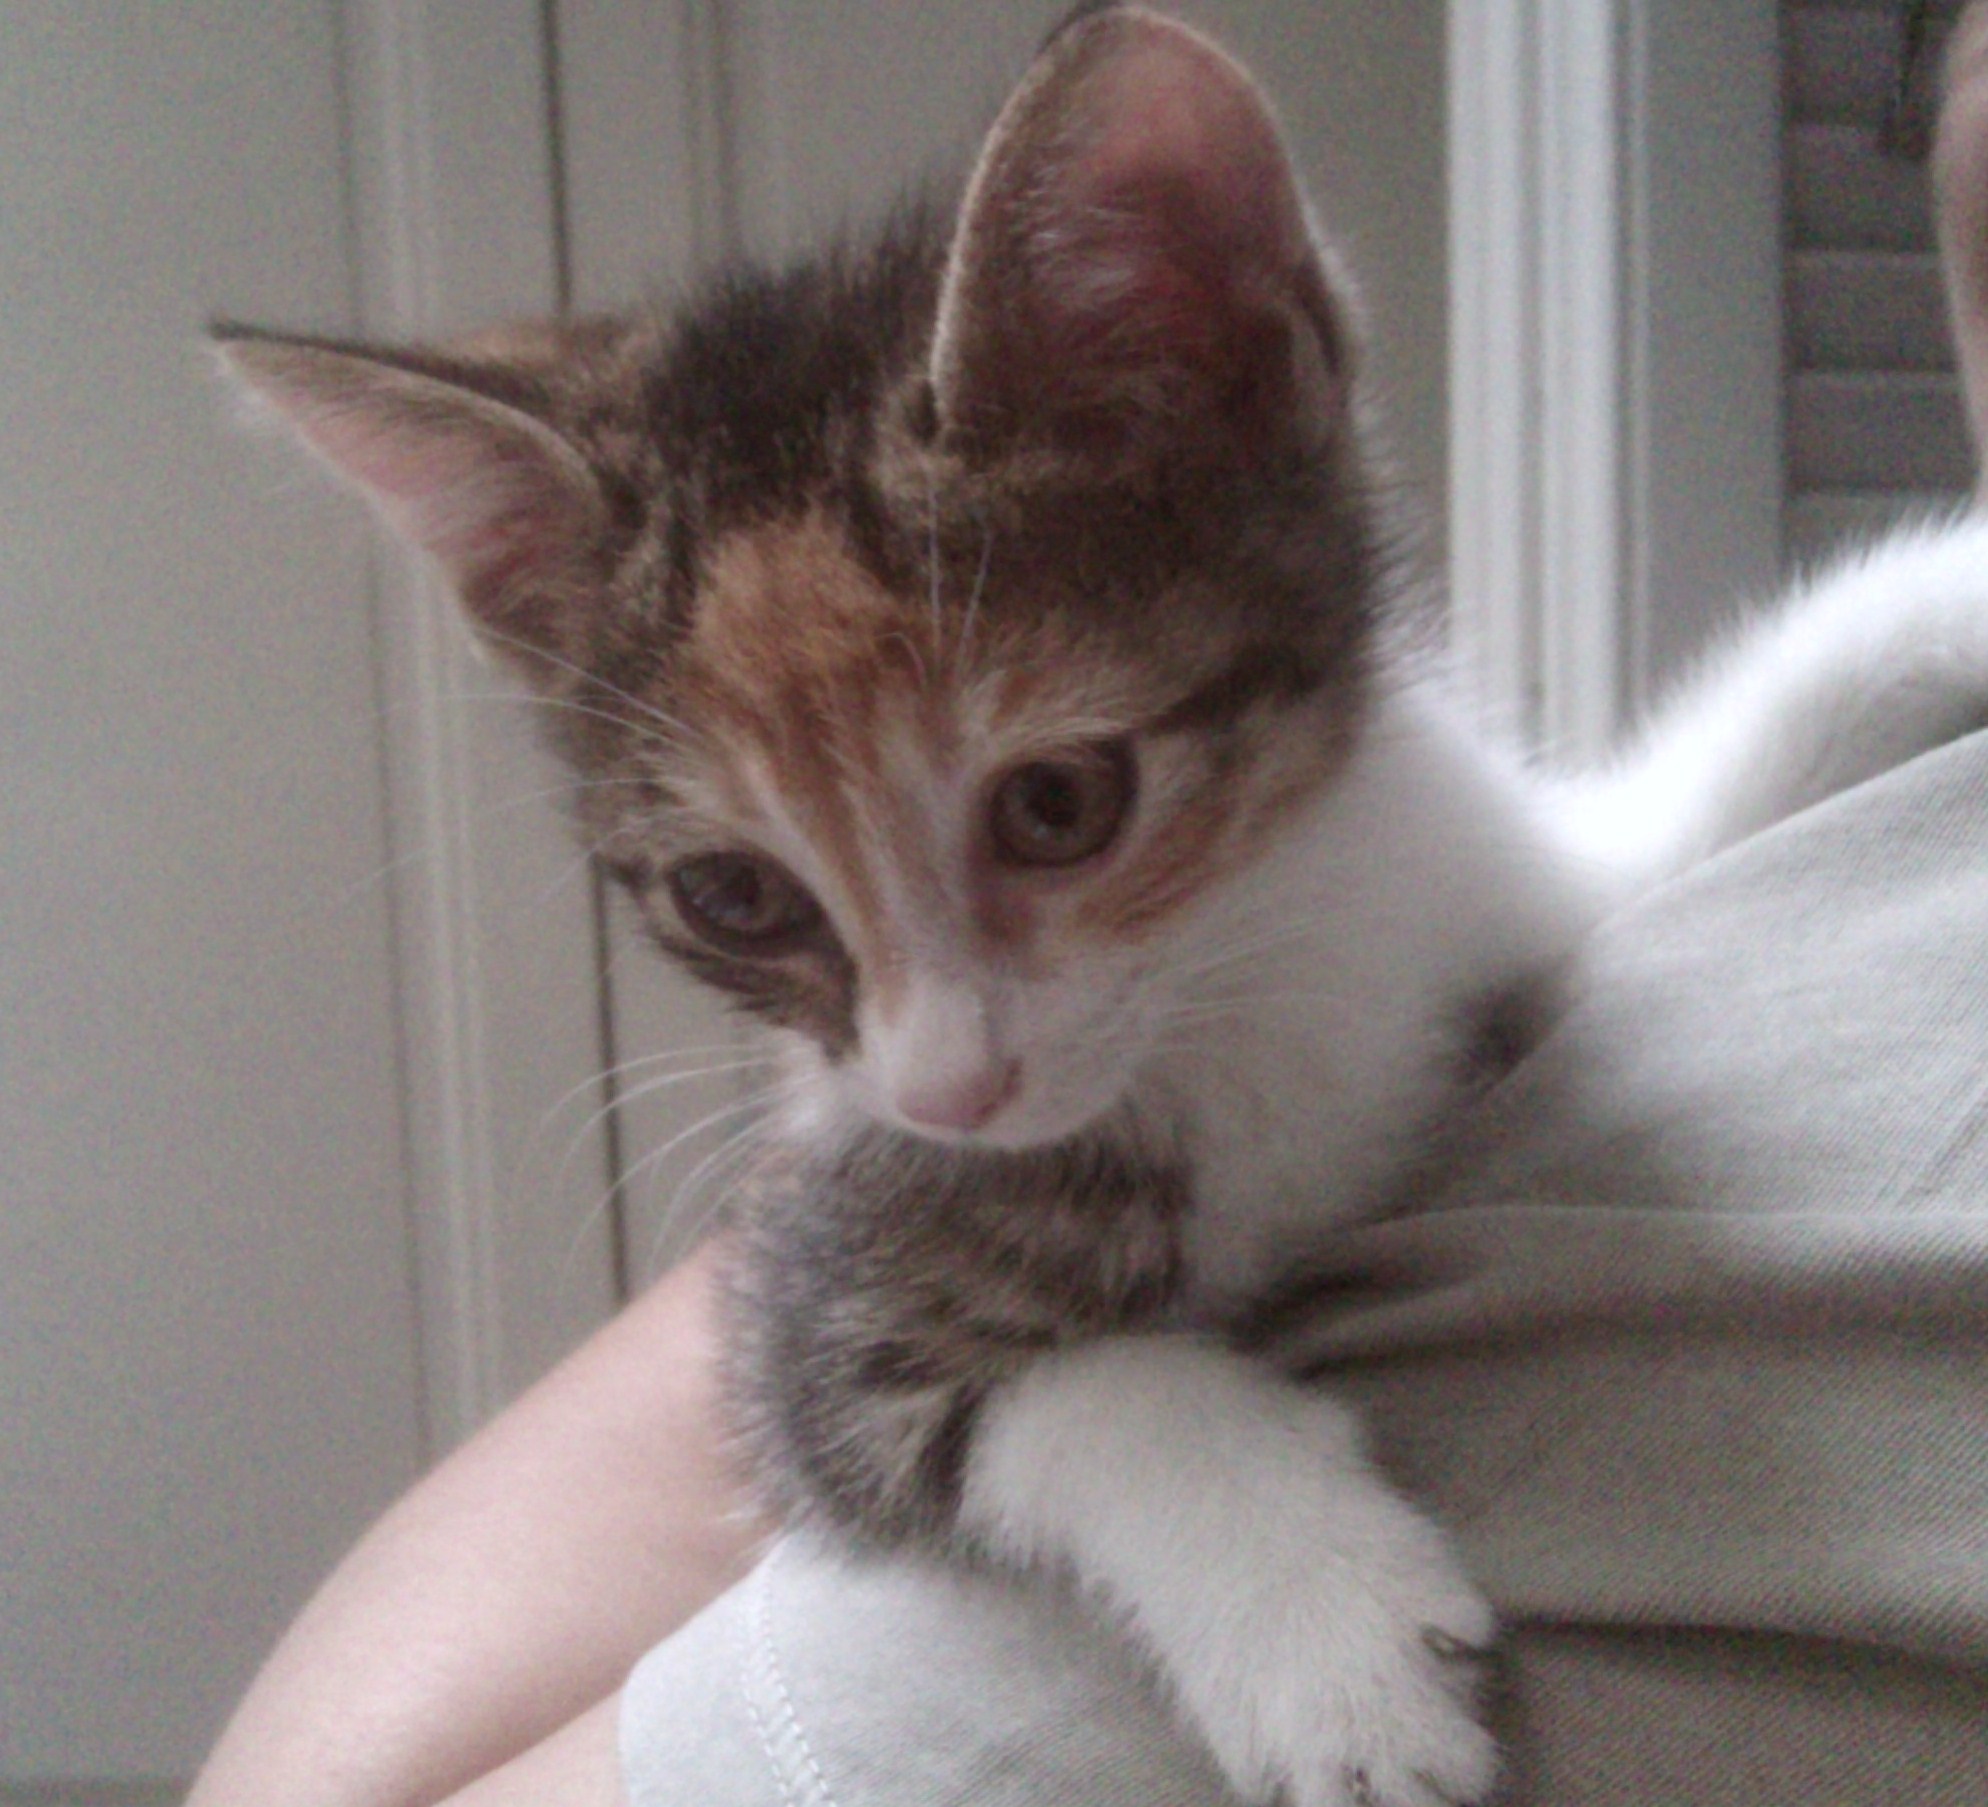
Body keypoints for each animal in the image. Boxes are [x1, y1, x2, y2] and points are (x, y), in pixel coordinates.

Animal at [215, 8, 1988, 1805]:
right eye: (735, 896)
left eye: (1058, 802)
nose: (951, 1090)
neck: (1248, 965)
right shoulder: (810, 1319)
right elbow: (1060, 1390)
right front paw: (1324, 1633)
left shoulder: (1481, 888)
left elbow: (1672, 809)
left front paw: (1934, 604)